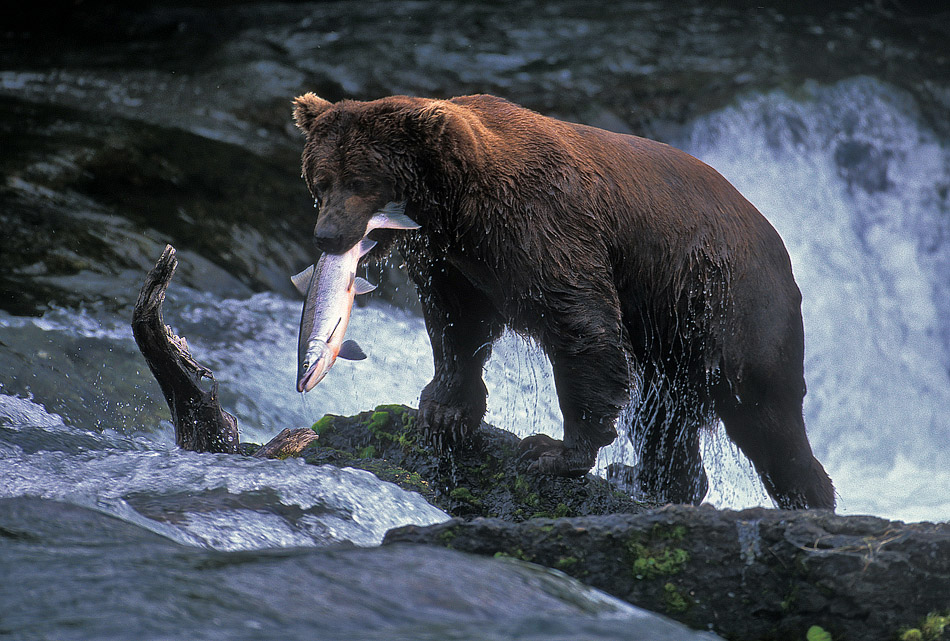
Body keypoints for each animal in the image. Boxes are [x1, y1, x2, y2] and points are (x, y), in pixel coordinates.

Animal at [294, 91, 836, 510]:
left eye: (361, 181)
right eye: (321, 180)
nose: (327, 236)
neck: (458, 207)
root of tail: (782, 249)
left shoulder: (545, 226)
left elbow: (580, 328)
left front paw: (551, 453)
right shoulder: (454, 260)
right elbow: (458, 326)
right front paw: (444, 410)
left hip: (729, 308)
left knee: (767, 418)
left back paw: (809, 501)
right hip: (670, 336)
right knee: (662, 417)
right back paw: (653, 481)